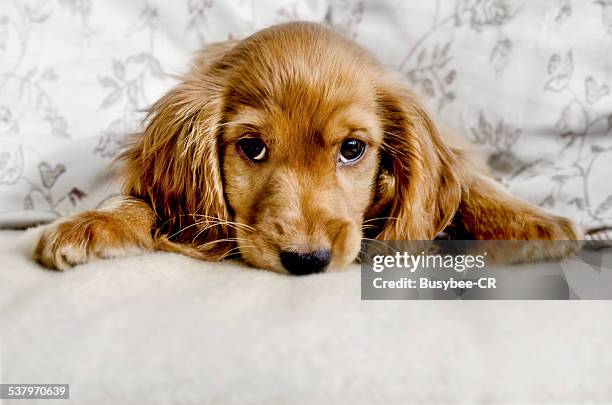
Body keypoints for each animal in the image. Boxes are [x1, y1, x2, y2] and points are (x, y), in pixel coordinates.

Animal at [34, 22, 584, 274]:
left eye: (352, 149)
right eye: (252, 148)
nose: (307, 261)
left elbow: (468, 178)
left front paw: (532, 222)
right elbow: (141, 203)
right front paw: (91, 224)